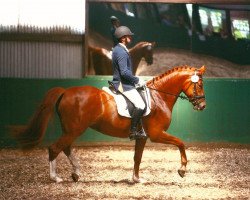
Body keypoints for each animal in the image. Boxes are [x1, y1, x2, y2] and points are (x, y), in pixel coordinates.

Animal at [12, 65, 206, 183]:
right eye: (200, 85)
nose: (202, 106)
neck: (159, 97)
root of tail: (66, 91)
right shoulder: (157, 134)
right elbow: (181, 143)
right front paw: (182, 169)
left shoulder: (142, 137)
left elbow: (137, 157)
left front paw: (136, 179)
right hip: (74, 129)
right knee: (54, 148)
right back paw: (56, 178)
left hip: (70, 129)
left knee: (65, 148)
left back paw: (76, 173)